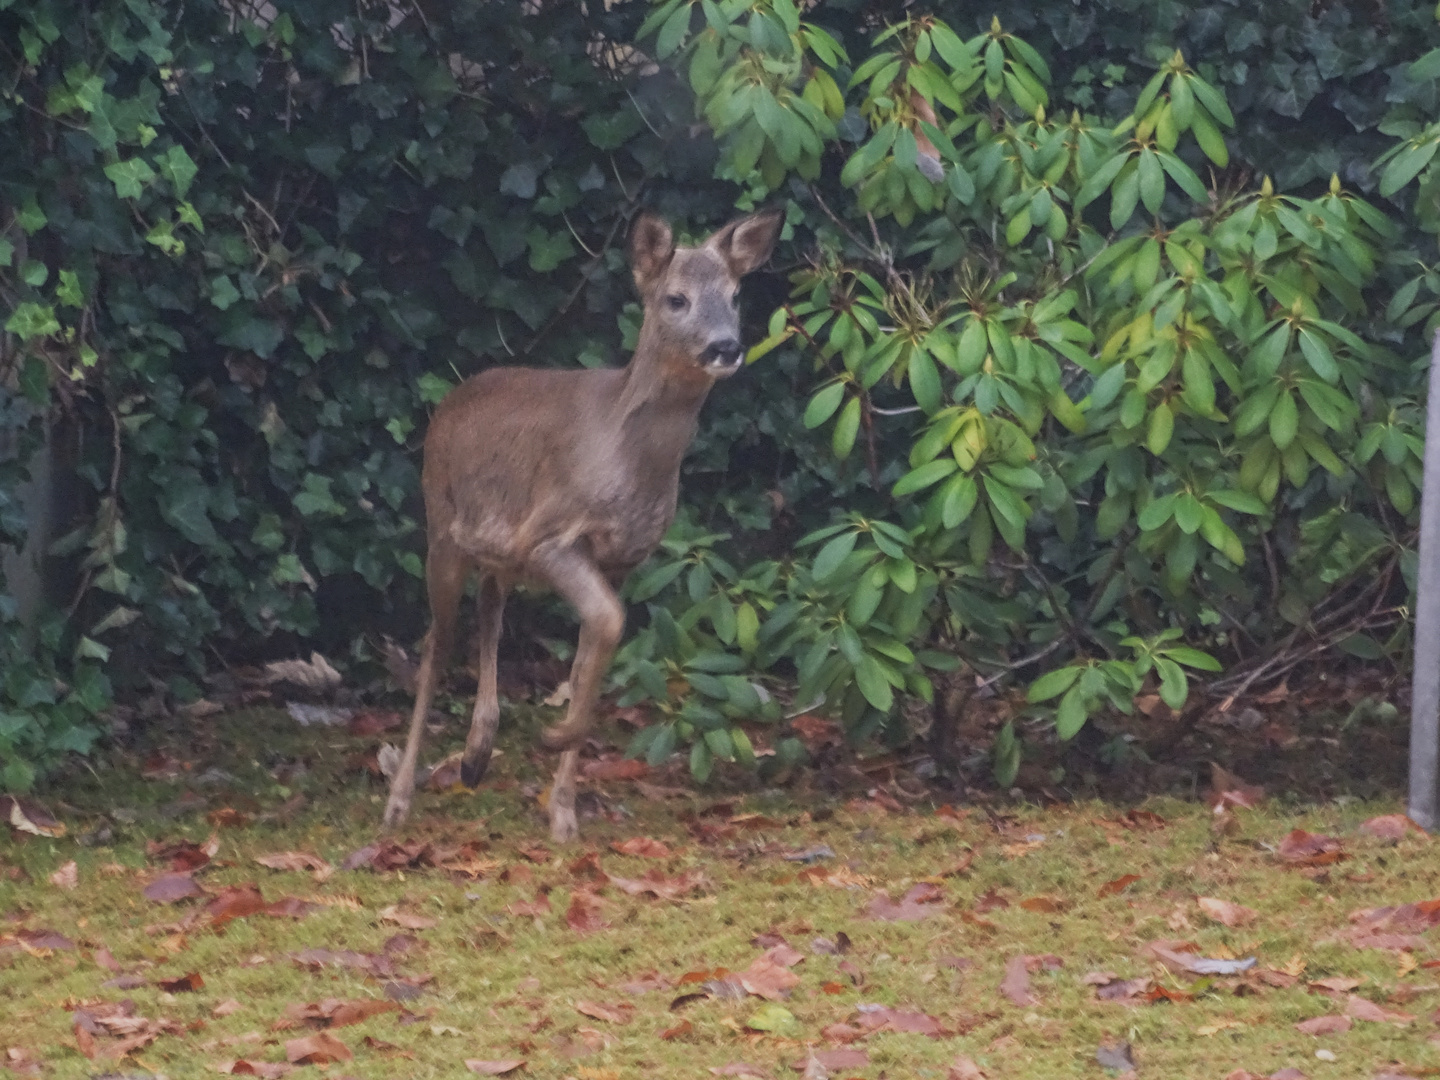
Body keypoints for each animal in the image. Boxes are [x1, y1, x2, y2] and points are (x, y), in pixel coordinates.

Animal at [380, 207, 777, 840]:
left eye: (736, 295)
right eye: (676, 298)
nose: (726, 346)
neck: (625, 454)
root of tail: (449, 401)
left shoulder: (622, 558)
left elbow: (598, 648)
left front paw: (563, 808)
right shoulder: (551, 536)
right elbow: (607, 626)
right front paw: (554, 738)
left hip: (497, 551)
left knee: (489, 611)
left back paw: (475, 756)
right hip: (442, 527)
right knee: (436, 641)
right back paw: (399, 800)